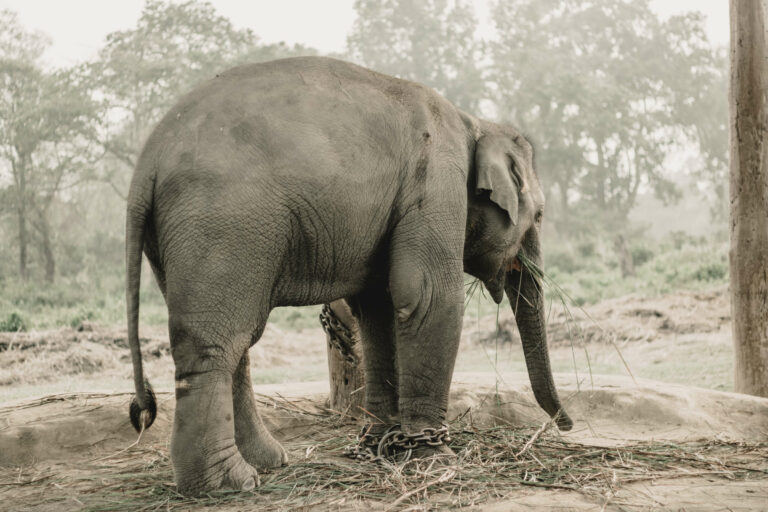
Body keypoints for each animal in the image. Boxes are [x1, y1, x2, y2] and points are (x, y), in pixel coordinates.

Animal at [125, 56, 572, 496]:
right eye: (539, 216)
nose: (565, 425)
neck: (474, 122)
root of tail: (147, 161)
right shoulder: (436, 181)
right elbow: (428, 297)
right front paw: (435, 458)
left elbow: (378, 308)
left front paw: (381, 445)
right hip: (224, 223)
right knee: (215, 344)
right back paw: (227, 484)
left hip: (181, 240)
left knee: (235, 343)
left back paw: (267, 462)